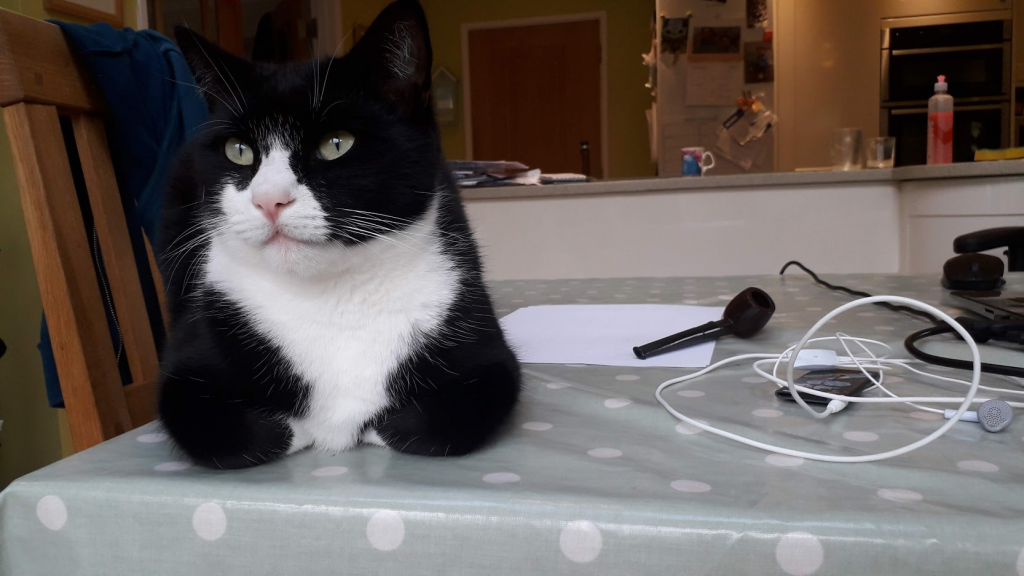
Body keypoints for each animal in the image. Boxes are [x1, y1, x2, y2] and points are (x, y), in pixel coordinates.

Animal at [157, 0, 520, 467]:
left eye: (336, 143)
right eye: (238, 151)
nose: (269, 200)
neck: (333, 295)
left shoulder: (481, 342)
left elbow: (443, 420)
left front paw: (372, 428)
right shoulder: (189, 363)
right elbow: (223, 429)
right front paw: (300, 430)